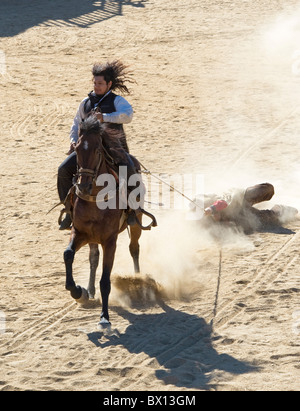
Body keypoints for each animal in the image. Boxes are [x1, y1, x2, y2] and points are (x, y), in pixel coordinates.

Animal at [63, 116, 157, 328]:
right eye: (77, 148)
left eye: (97, 150)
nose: (83, 185)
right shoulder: (79, 232)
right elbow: (68, 254)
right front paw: (78, 291)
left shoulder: (110, 240)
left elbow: (105, 281)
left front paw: (104, 317)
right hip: (92, 238)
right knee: (93, 257)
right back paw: (89, 290)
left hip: (136, 222)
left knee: (134, 248)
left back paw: (138, 279)